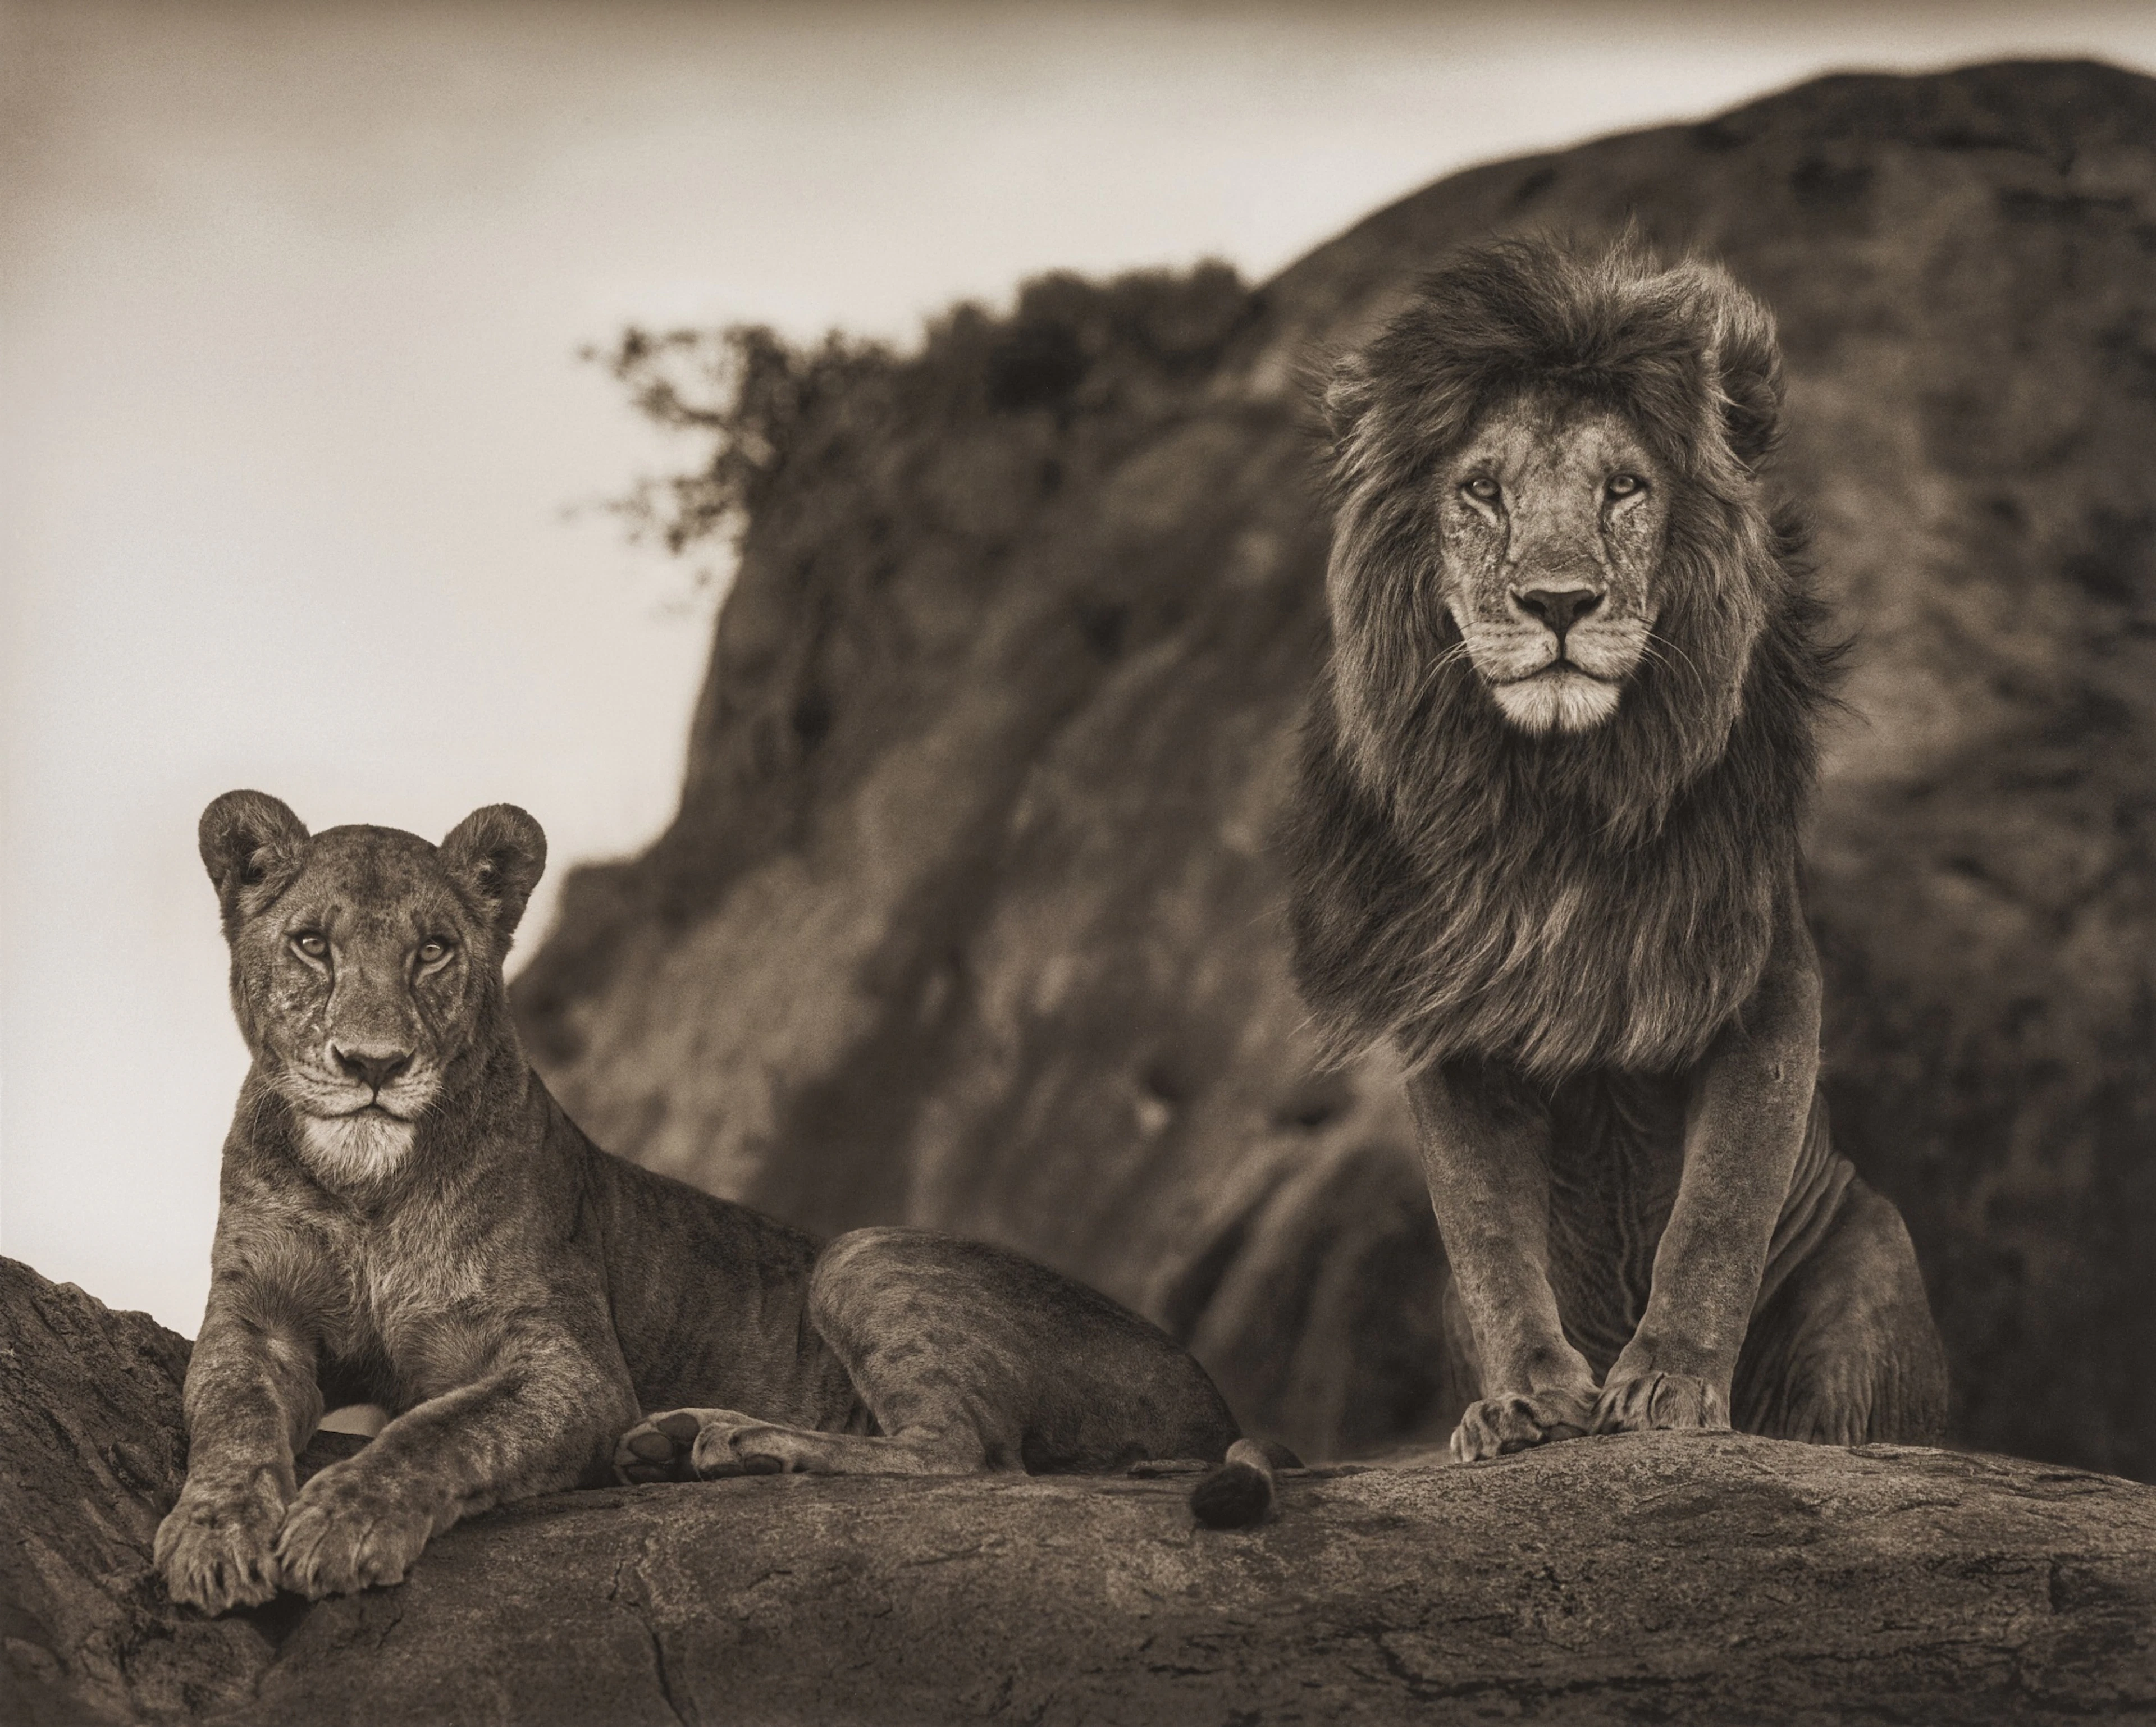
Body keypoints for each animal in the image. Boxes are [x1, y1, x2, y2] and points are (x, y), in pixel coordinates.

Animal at [156, 792, 1284, 1614]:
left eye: (433, 949)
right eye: (313, 943)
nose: (374, 1065)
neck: (369, 1189)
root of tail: (1213, 1395)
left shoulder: (572, 1367)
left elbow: (436, 1431)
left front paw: (342, 1522)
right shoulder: (255, 1317)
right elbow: (231, 1416)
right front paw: (214, 1537)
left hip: (866, 1251)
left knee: (968, 1458)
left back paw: (726, 1443)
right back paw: (675, 1448)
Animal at [1285, 236, 1948, 1461]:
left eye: (1625, 486)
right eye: (1482, 488)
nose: (1557, 601)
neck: (1560, 803)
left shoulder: (1761, 985)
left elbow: (1718, 1210)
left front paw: (1672, 1382)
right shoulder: (1455, 1020)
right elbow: (1489, 1231)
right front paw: (1525, 1401)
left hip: (1871, 1259)